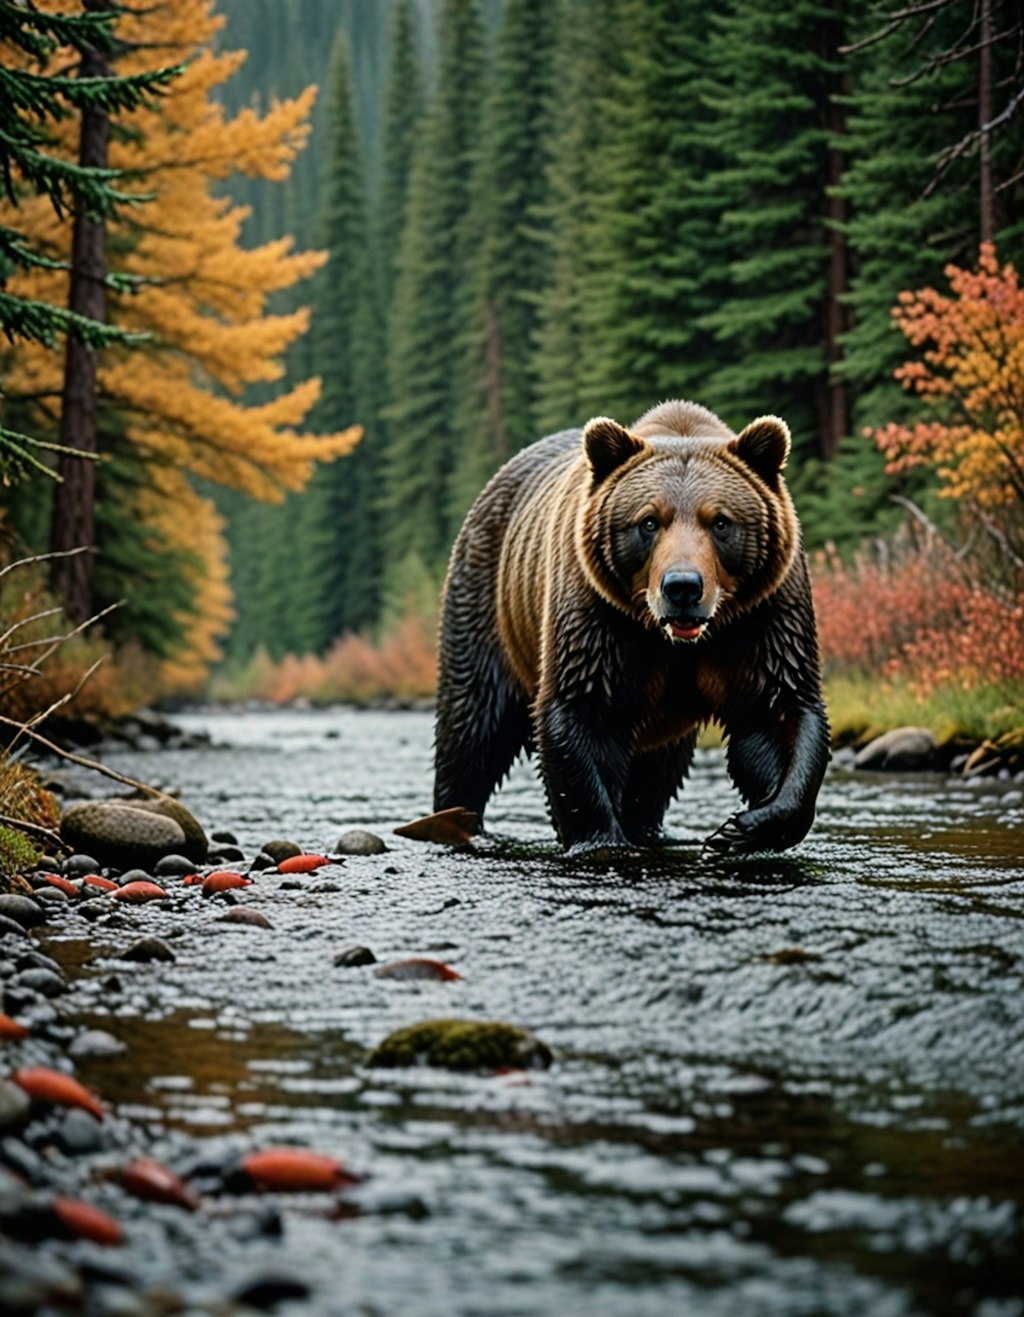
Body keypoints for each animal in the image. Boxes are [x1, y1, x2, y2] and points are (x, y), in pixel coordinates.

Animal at [431, 400, 831, 853]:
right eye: (649, 521)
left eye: (721, 521)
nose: (682, 587)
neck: (674, 640)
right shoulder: (599, 617)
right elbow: (583, 712)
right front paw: (601, 838)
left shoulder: (762, 617)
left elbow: (775, 711)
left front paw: (742, 827)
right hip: (489, 602)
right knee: (472, 726)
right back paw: (454, 818)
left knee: (658, 769)